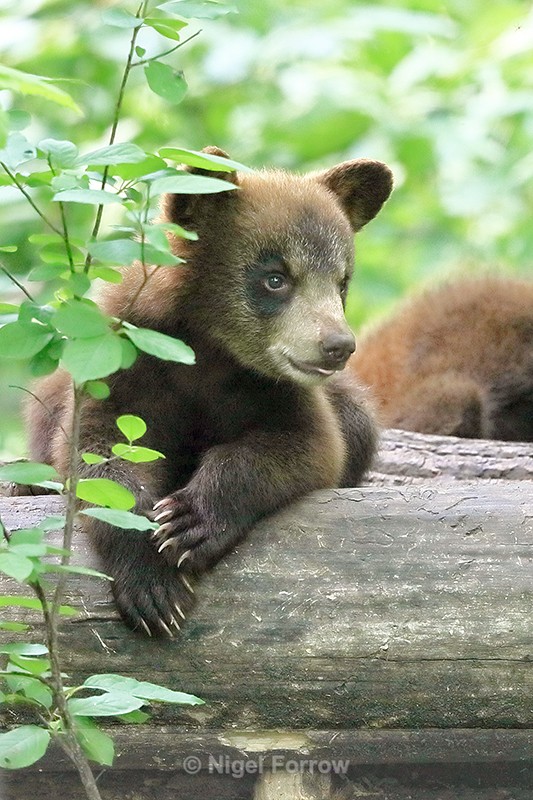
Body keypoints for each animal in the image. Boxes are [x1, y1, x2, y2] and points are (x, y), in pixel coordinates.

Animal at [27, 147, 393, 636]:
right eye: (275, 277)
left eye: (341, 282)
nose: (337, 346)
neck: (207, 351)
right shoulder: (126, 364)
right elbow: (97, 453)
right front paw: (152, 585)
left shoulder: (273, 389)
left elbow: (309, 444)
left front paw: (192, 520)